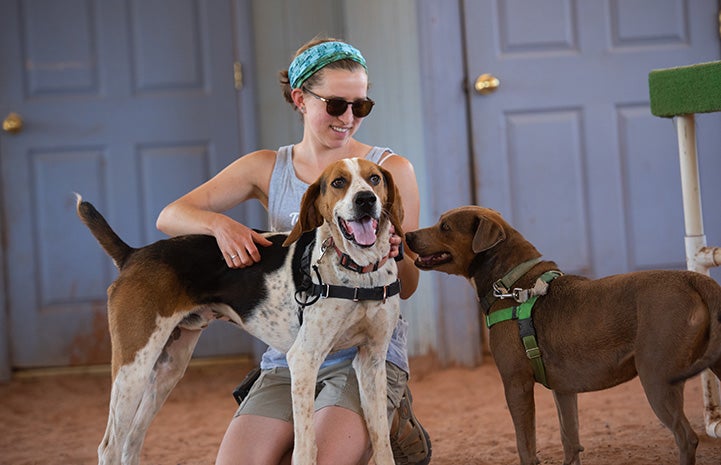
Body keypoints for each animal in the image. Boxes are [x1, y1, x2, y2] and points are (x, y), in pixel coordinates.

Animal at [80, 157, 404, 464]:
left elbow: (383, 444)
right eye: (338, 182)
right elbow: (306, 448)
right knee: (109, 448)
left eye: (374, 178)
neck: (360, 273)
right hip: (133, 368)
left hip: (168, 370)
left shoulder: (372, 360)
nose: (365, 199)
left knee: (132, 442)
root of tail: (133, 254)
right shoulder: (304, 360)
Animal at [404, 207, 720, 464]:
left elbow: (526, 447)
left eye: (445, 226)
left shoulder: (516, 385)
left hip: (657, 378)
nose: (407, 234)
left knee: (686, 437)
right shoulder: (564, 390)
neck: (511, 283)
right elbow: (570, 441)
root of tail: (694, 279)